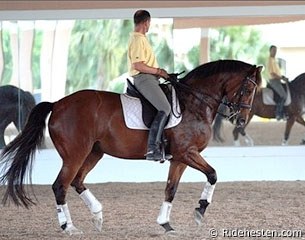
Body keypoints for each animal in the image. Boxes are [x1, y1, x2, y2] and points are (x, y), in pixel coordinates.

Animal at [0, 59, 262, 235]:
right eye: (249, 89)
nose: (241, 120)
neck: (194, 103)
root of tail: (57, 104)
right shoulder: (188, 153)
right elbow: (213, 174)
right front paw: (200, 210)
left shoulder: (179, 158)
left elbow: (171, 189)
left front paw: (166, 224)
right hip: (75, 155)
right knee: (60, 186)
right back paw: (69, 227)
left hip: (94, 152)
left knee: (77, 182)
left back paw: (97, 216)